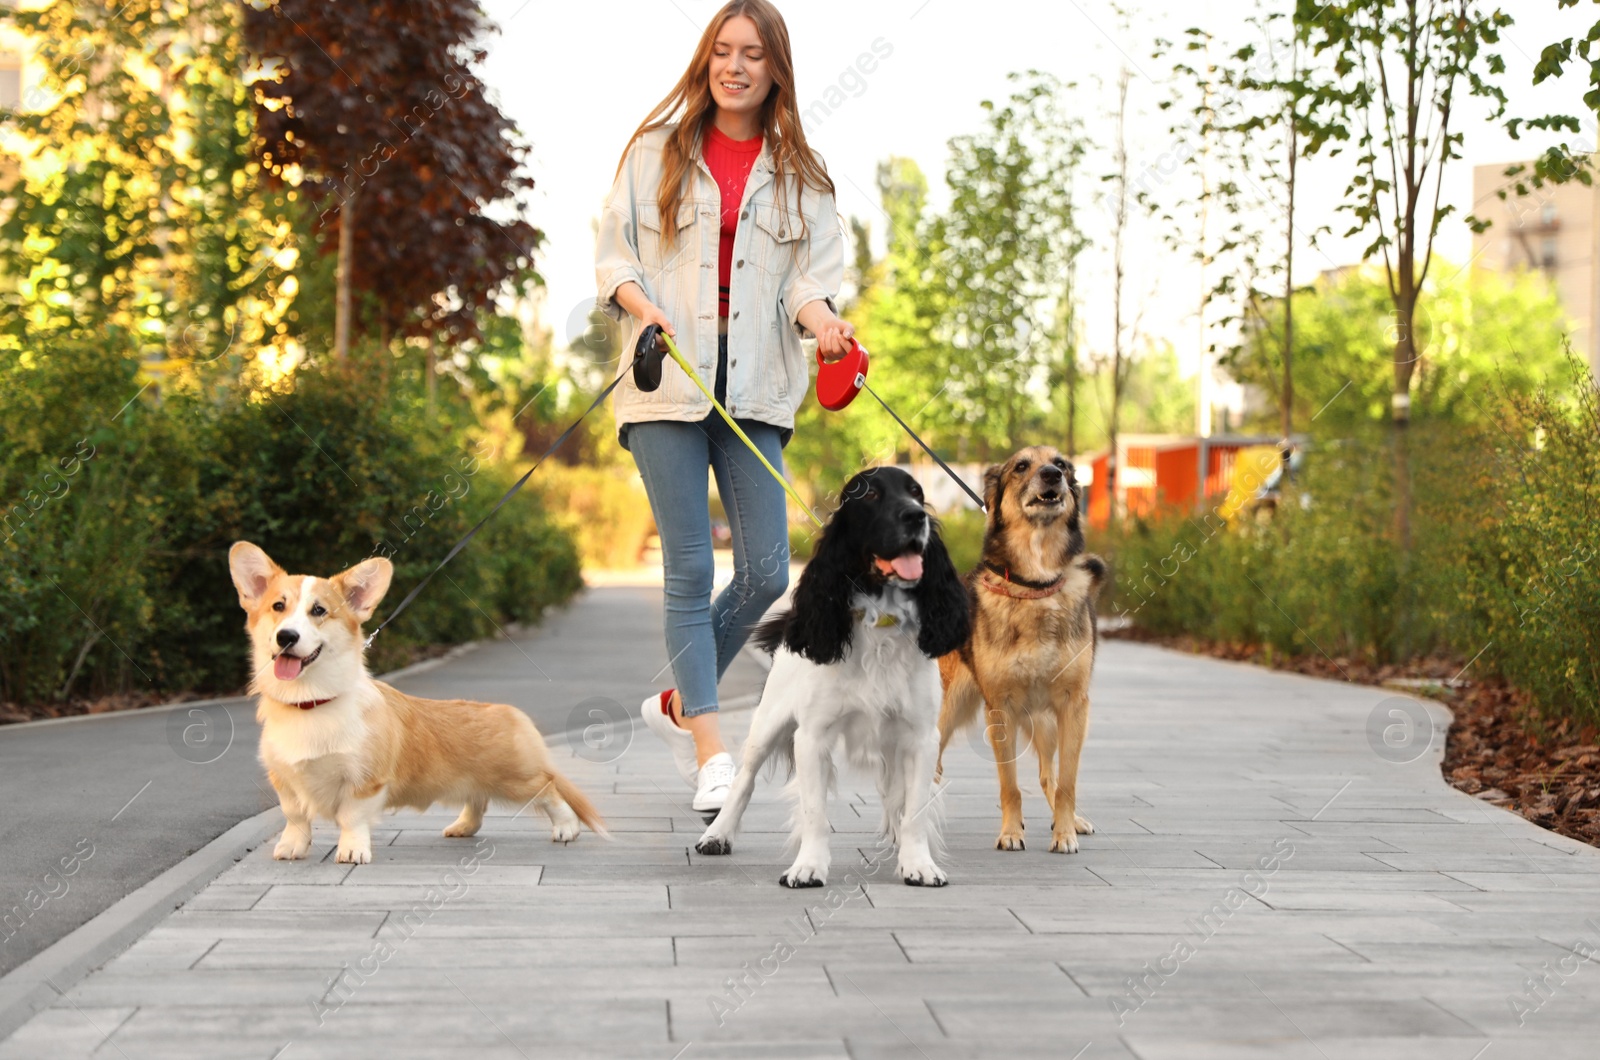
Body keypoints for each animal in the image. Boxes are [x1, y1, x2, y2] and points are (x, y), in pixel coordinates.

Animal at [934, 445, 1107, 858]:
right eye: (1021, 466)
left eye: (1060, 464)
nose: (1051, 476)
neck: (1036, 585)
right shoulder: (1001, 709)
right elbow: (1009, 784)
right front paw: (1011, 833)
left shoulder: (1074, 706)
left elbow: (1067, 782)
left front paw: (1065, 834)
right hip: (953, 706)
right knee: (931, 763)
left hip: (1046, 723)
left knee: (1049, 775)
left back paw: (1070, 821)